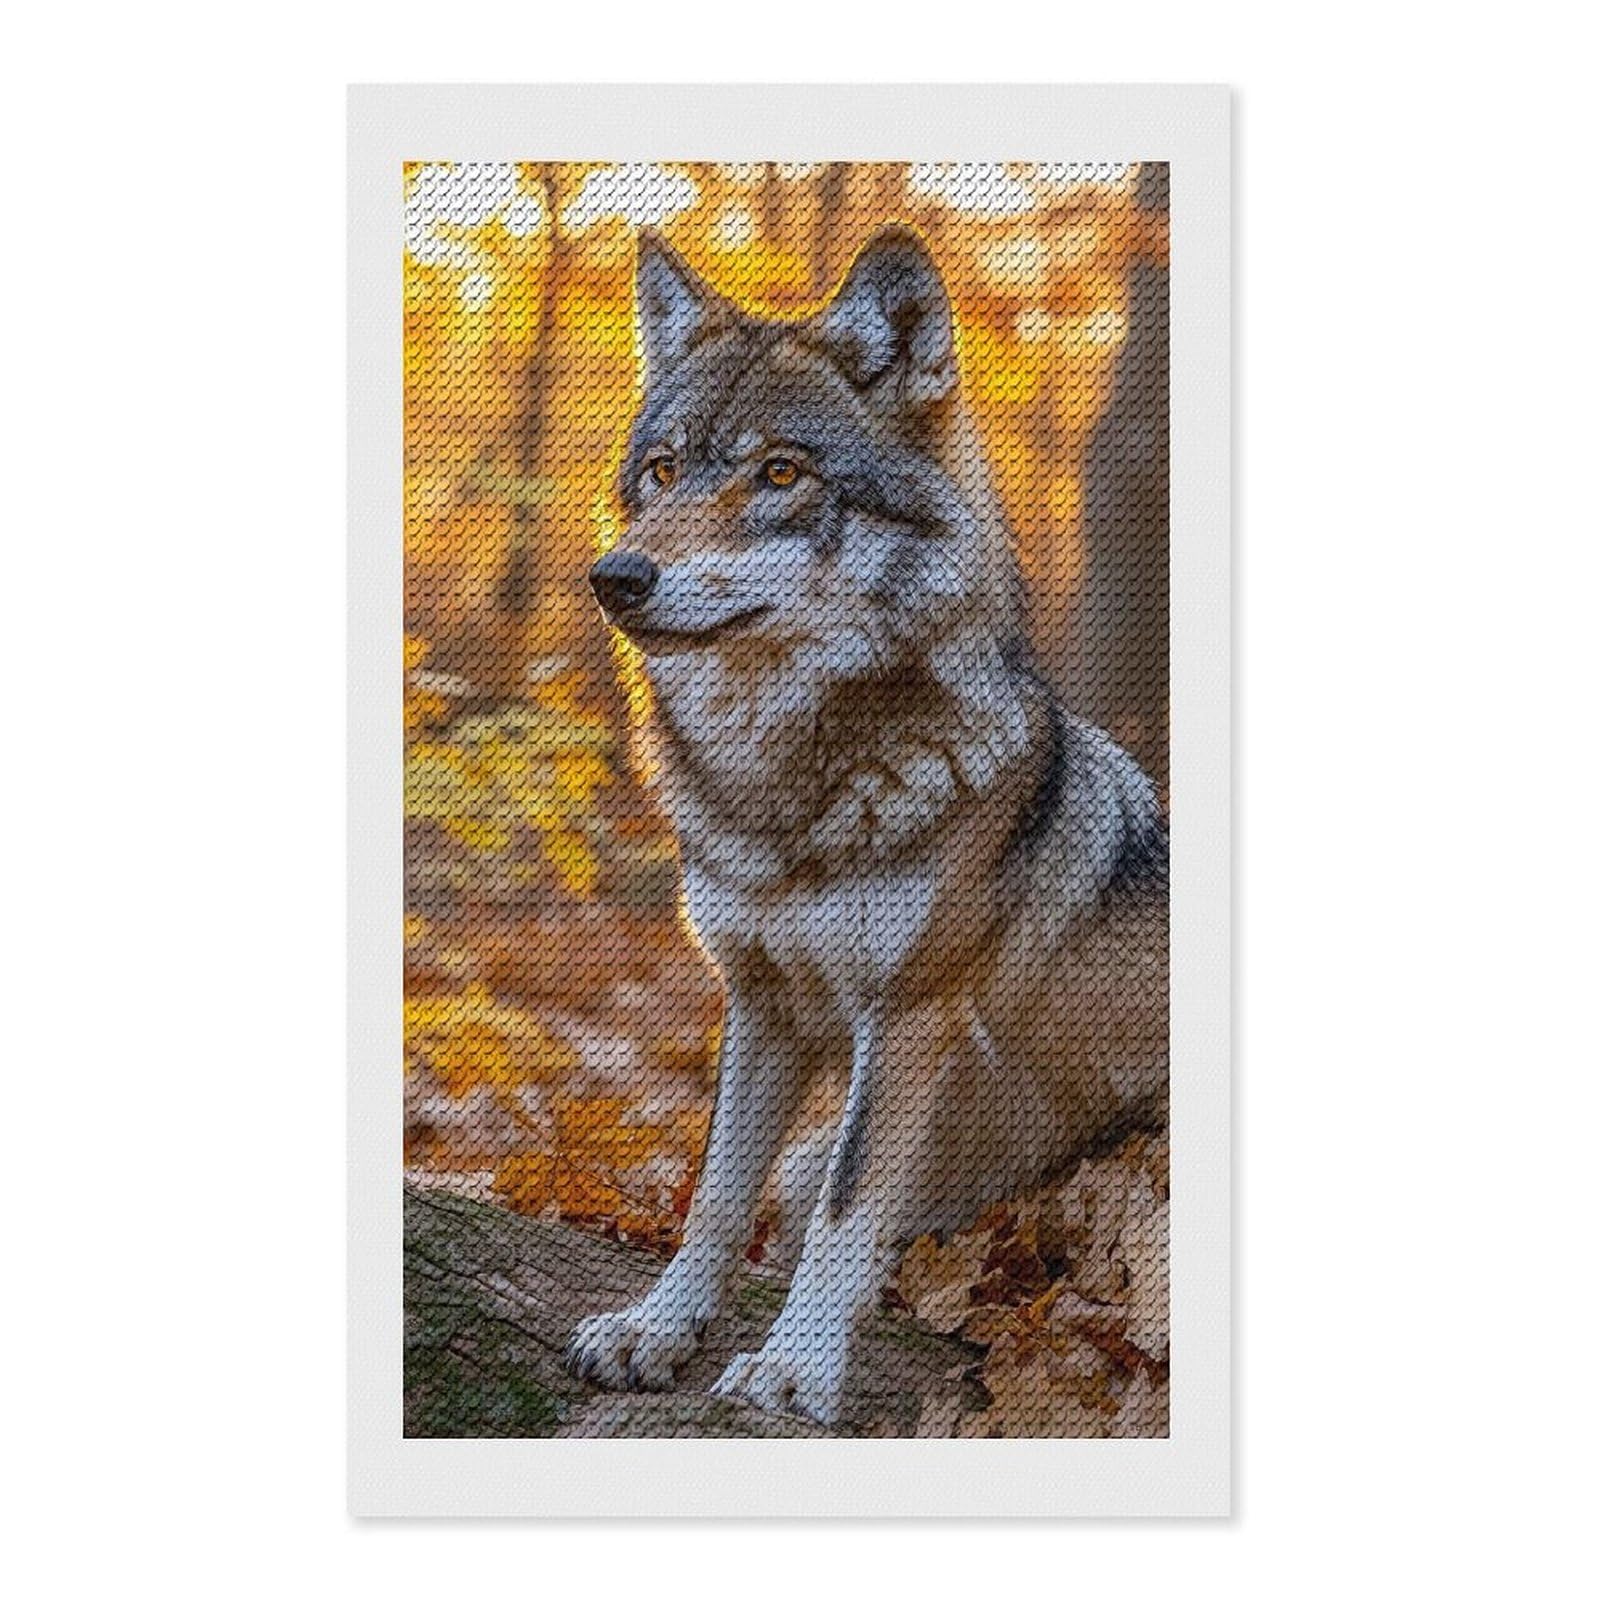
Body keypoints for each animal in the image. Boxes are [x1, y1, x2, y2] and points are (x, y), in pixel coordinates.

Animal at [566, 227, 1168, 1425]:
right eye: (662, 471)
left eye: (779, 473)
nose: (615, 576)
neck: (786, 800)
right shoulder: (760, 1001)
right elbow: (715, 1191)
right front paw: (658, 1329)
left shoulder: (909, 1017)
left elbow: (847, 1212)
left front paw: (794, 1368)